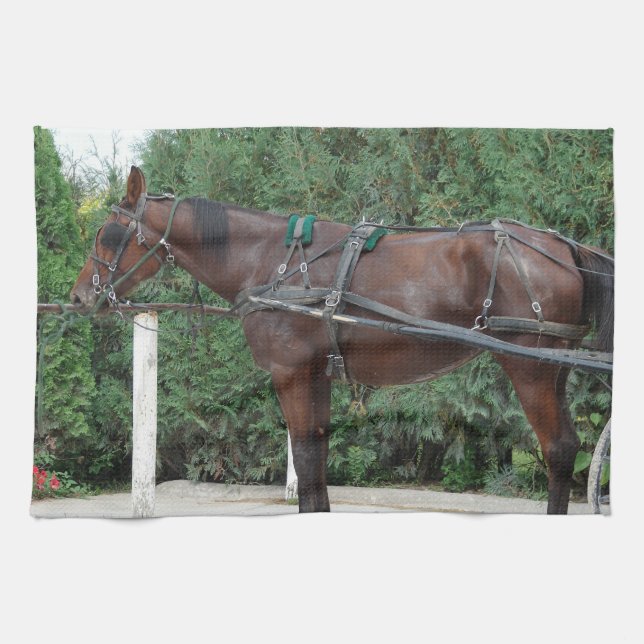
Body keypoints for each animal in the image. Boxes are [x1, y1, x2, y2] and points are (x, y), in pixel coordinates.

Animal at [71, 166, 614, 514]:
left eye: (106, 234)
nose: (78, 297)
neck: (270, 261)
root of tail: (561, 247)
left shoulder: (291, 373)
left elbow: (307, 461)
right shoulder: (316, 373)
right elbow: (316, 460)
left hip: (531, 367)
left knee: (560, 449)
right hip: (552, 367)